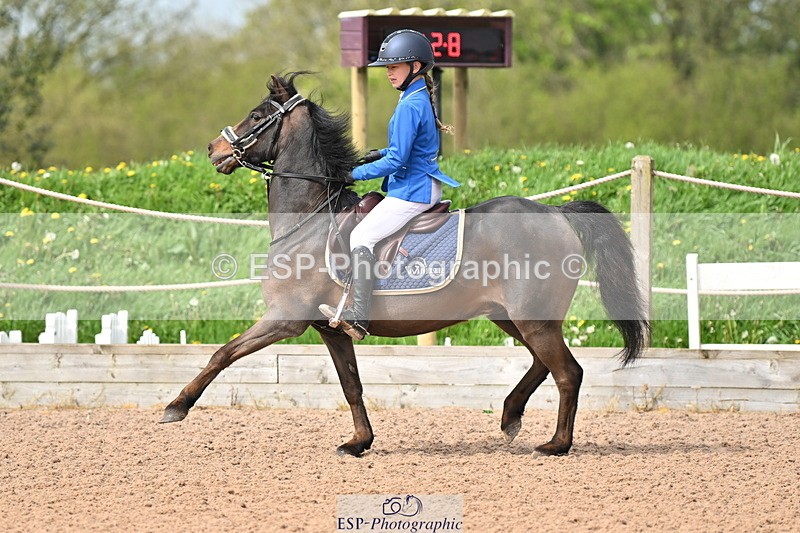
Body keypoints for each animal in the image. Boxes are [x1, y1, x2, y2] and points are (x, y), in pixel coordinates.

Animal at [160, 72, 650, 457]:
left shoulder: (285, 318)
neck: (309, 218)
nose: (213, 149)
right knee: (545, 365)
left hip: (533, 320)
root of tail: (556, 212)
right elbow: (351, 385)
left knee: (568, 372)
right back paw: (511, 416)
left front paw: (176, 407)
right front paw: (359, 442)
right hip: (513, 318)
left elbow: (223, 353)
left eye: (258, 114)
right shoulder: (330, 329)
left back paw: (556, 445)